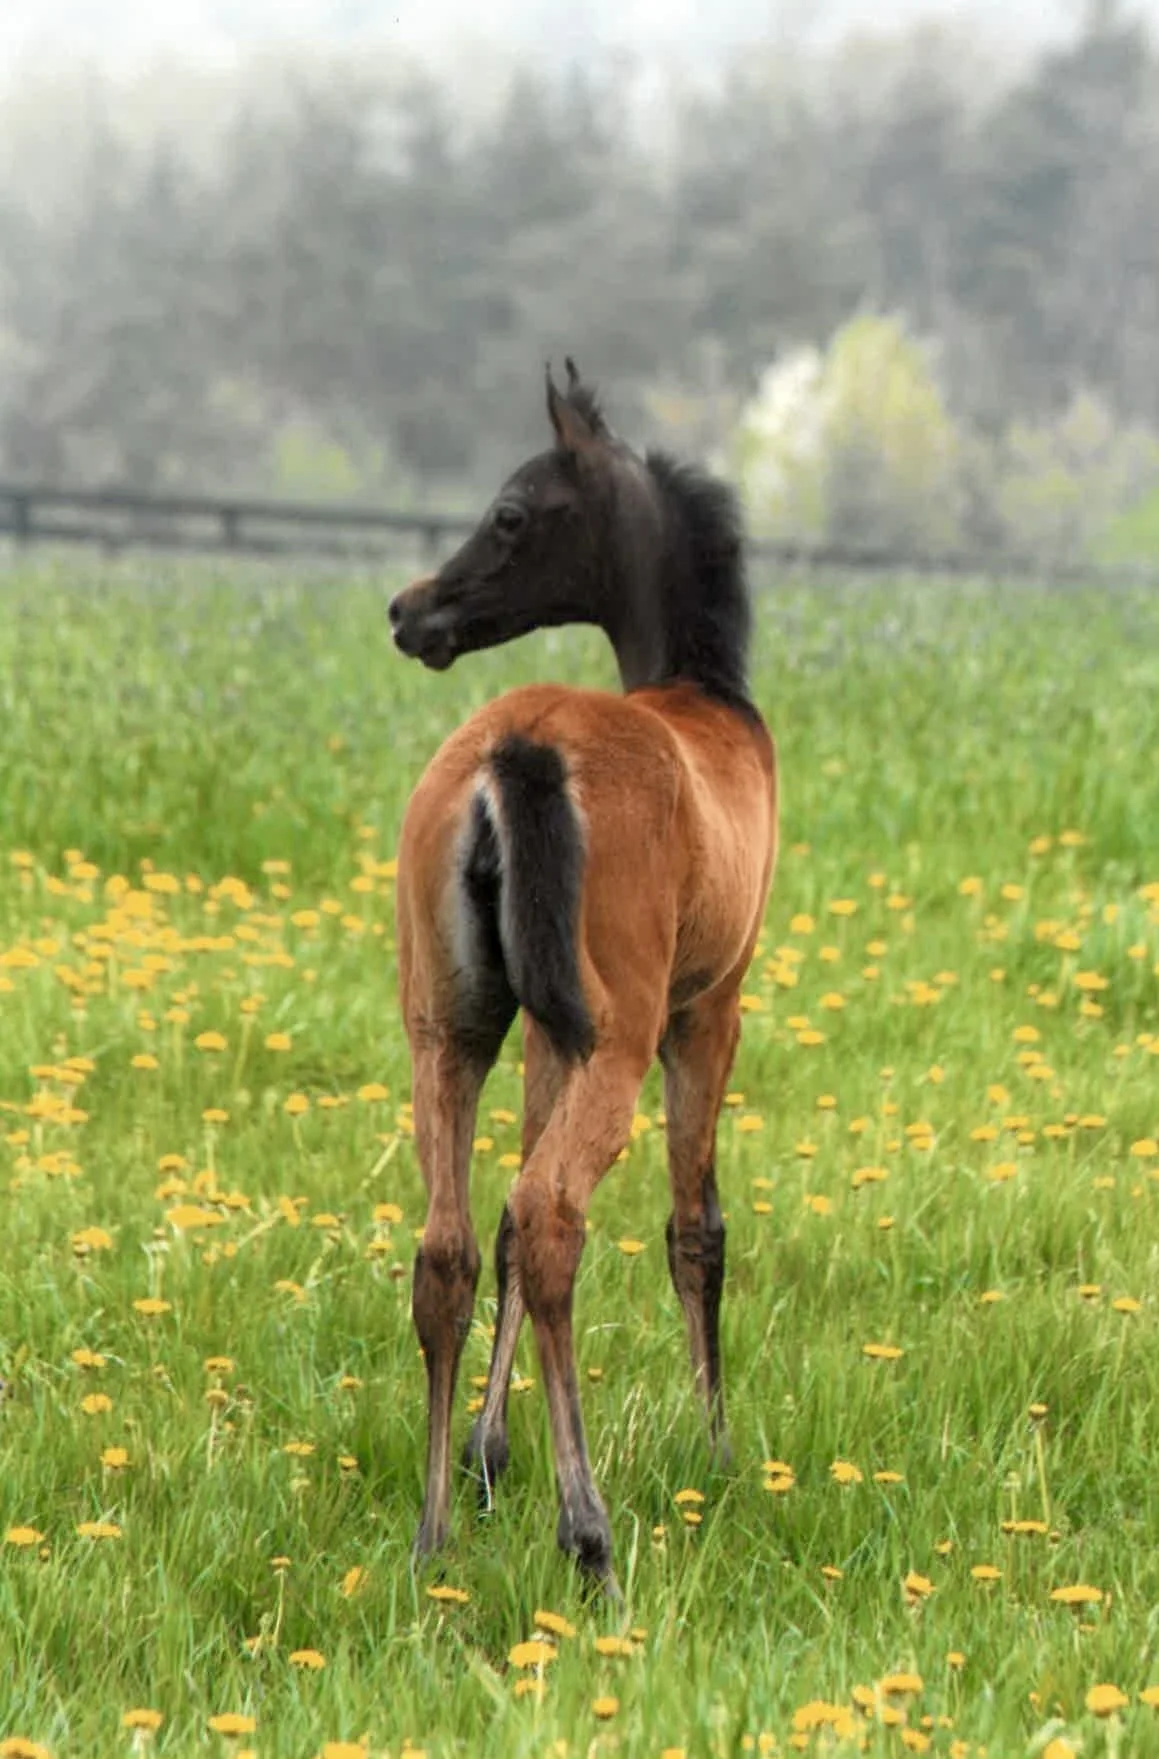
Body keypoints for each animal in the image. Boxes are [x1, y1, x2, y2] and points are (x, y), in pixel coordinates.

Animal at [388, 361, 777, 1588]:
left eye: (511, 513)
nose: (410, 610)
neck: (700, 701)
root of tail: (518, 751)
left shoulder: (538, 1027)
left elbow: (502, 1237)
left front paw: (486, 1455)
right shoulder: (710, 1009)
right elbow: (697, 1225)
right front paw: (718, 1442)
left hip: (452, 1027)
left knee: (454, 1244)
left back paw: (432, 1535)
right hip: (620, 1033)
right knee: (555, 1218)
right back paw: (589, 1530)